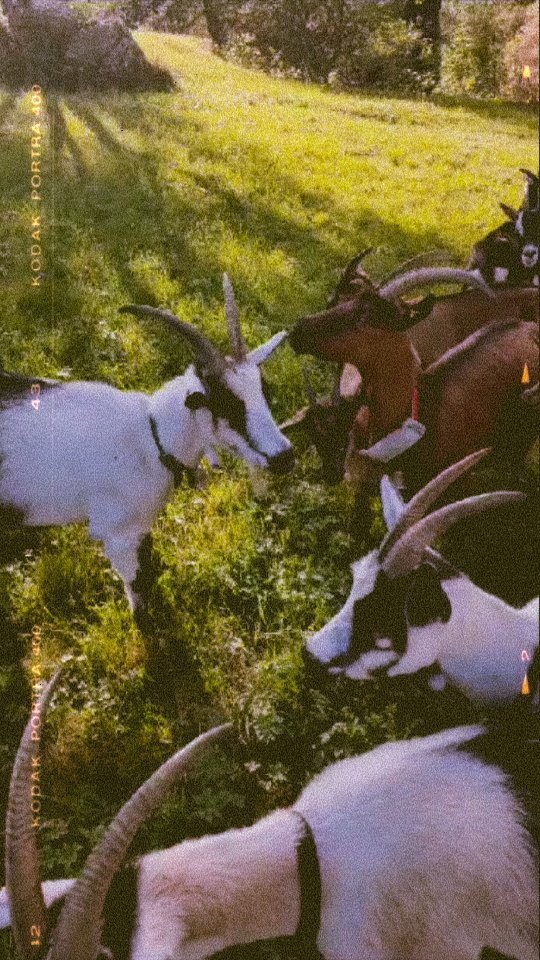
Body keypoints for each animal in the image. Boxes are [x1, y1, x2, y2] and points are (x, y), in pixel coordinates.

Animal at [0, 276, 293, 620]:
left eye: (263, 390)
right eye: (226, 403)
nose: (285, 456)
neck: (151, 439)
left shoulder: (140, 528)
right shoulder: (117, 536)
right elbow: (139, 590)